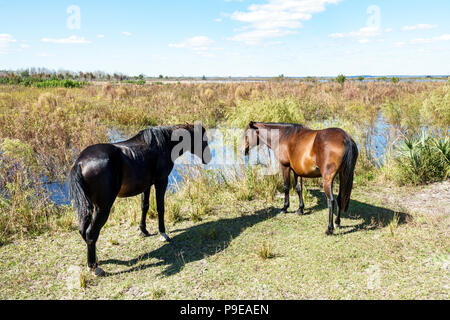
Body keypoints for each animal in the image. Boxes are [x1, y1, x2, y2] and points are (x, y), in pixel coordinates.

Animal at [67, 124, 212, 272]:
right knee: (91, 233)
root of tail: (80, 163)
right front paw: (163, 234)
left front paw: (144, 230)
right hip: (102, 207)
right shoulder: (161, 181)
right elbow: (160, 207)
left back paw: (95, 261)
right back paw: (94, 267)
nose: (208, 157)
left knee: (84, 231)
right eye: (202, 138)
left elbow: (145, 206)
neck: (162, 144)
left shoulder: (146, 186)